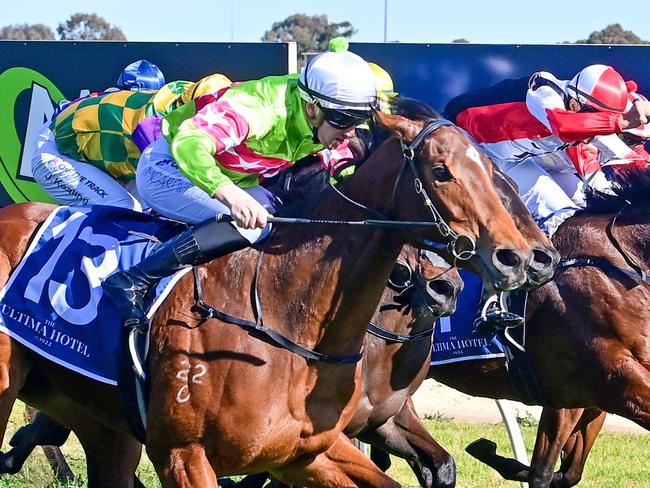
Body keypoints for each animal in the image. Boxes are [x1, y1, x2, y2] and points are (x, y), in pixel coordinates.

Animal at [0, 105, 532, 486]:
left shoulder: (303, 453)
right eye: (441, 171)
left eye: (492, 172)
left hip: (102, 424)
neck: (284, 312)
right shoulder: (183, 455)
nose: (516, 257)